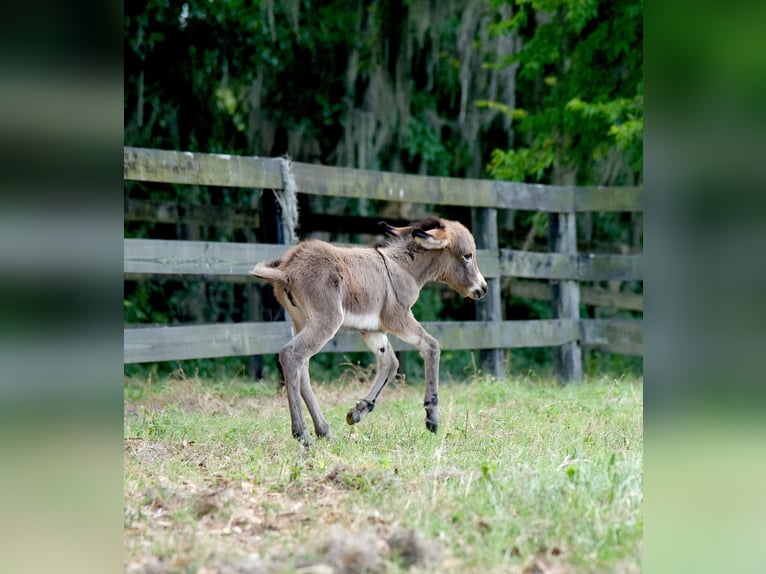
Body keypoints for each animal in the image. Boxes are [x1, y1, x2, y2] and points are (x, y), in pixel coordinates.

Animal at [254, 218, 492, 444]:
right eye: (468, 256)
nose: (483, 289)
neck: (404, 269)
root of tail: (288, 268)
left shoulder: (372, 330)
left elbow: (390, 363)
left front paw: (359, 411)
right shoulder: (399, 319)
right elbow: (431, 346)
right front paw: (431, 417)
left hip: (302, 321)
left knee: (302, 367)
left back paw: (324, 431)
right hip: (326, 321)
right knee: (291, 355)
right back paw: (302, 434)